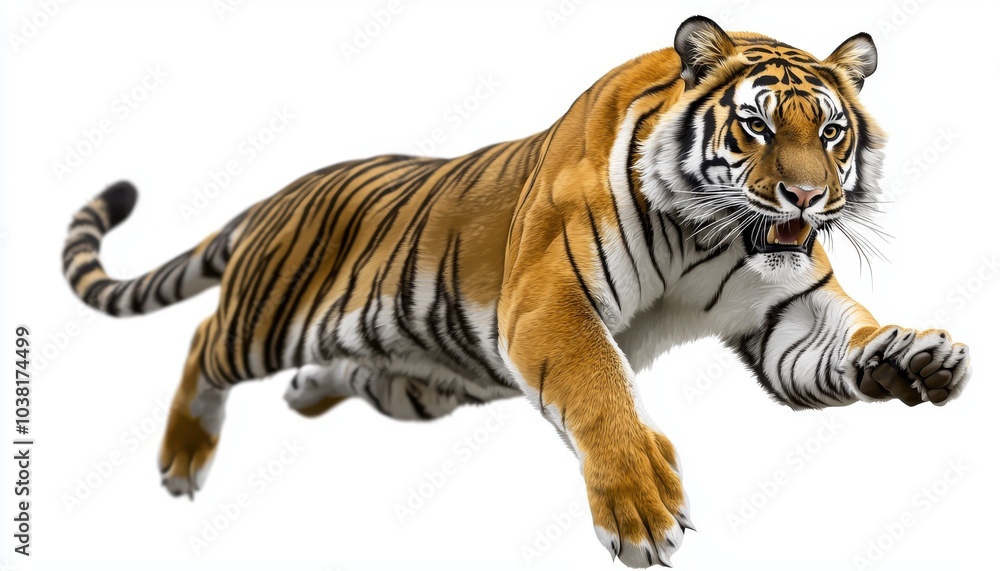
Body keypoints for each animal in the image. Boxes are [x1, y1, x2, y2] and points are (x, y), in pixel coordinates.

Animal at [62, 15, 971, 568]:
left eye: (832, 130)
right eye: (755, 125)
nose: (808, 199)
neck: (706, 234)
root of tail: (276, 195)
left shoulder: (788, 311)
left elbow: (844, 345)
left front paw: (918, 358)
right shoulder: (550, 301)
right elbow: (601, 387)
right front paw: (642, 505)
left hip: (419, 379)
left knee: (344, 372)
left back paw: (305, 392)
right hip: (268, 316)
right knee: (200, 345)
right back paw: (184, 458)